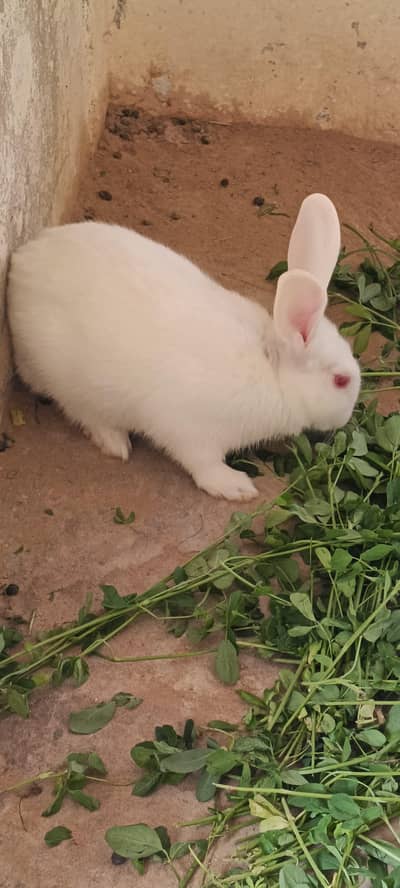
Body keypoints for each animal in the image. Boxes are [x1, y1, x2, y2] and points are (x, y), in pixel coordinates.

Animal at [7, 193, 360, 501]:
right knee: (80, 410)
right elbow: (203, 463)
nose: (345, 420)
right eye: (340, 380)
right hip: (72, 378)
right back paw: (116, 443)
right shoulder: (189, 430)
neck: (270, 369)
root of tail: (18, 270)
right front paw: (235, 487)